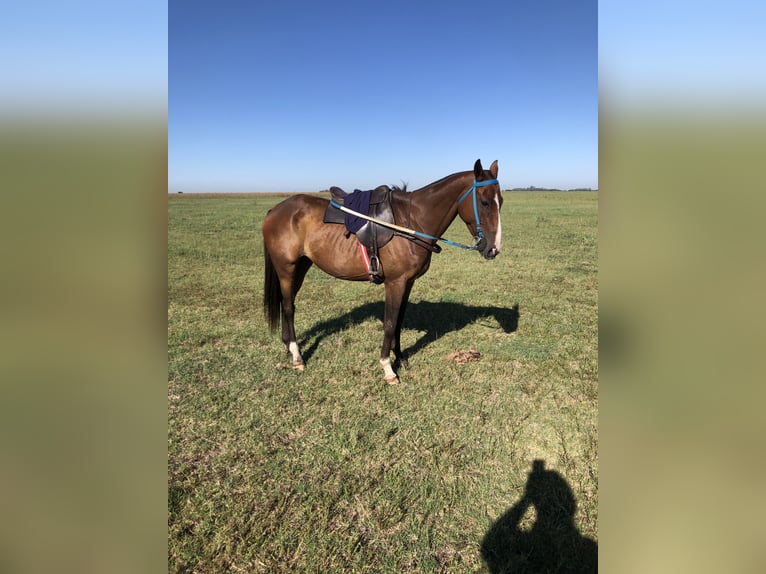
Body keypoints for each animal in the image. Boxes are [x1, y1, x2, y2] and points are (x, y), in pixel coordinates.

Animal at [264, 160, 504, 384]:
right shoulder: (395, 282)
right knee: (288, 308)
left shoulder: (408, 282)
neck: (412, 222)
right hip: (286, 269)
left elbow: (398, 320)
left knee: (287, 304)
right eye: (484, 202)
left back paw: (289, 349)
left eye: (500, 201)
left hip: (301, 267)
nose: (493, 249)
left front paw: (400, 358)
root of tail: (275, 210)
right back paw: (297, 356)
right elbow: (389, 323)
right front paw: (388, 367)